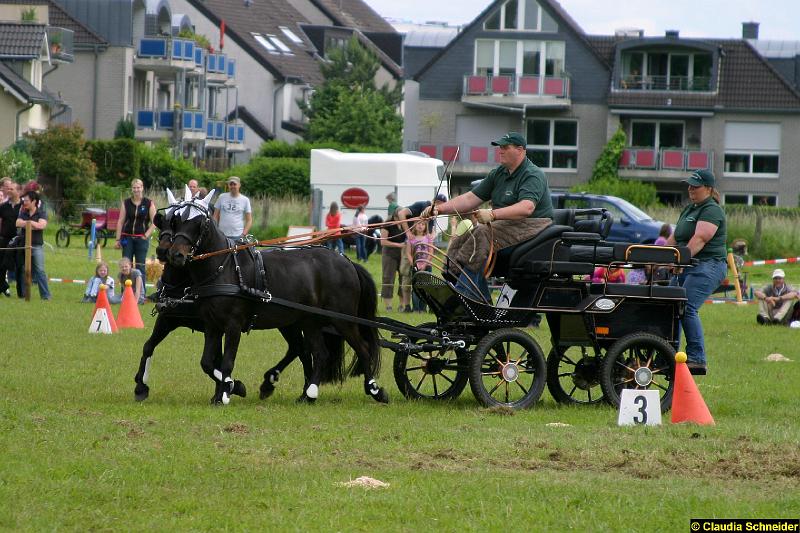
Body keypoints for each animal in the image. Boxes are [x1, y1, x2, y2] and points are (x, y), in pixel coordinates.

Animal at [160, 191, 388, 404]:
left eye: (200, 223)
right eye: (175, 220)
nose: (175, 255)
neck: (224, 268)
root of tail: (346, 261)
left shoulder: (233, 325)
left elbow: (227, 362)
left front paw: (225, 393)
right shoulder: (212, 325)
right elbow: (207, 363)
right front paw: (233, 386)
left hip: (342, 319)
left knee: (363, 349)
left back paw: (374, 390)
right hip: (309, 321)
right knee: (319, 354)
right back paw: (309, 393)